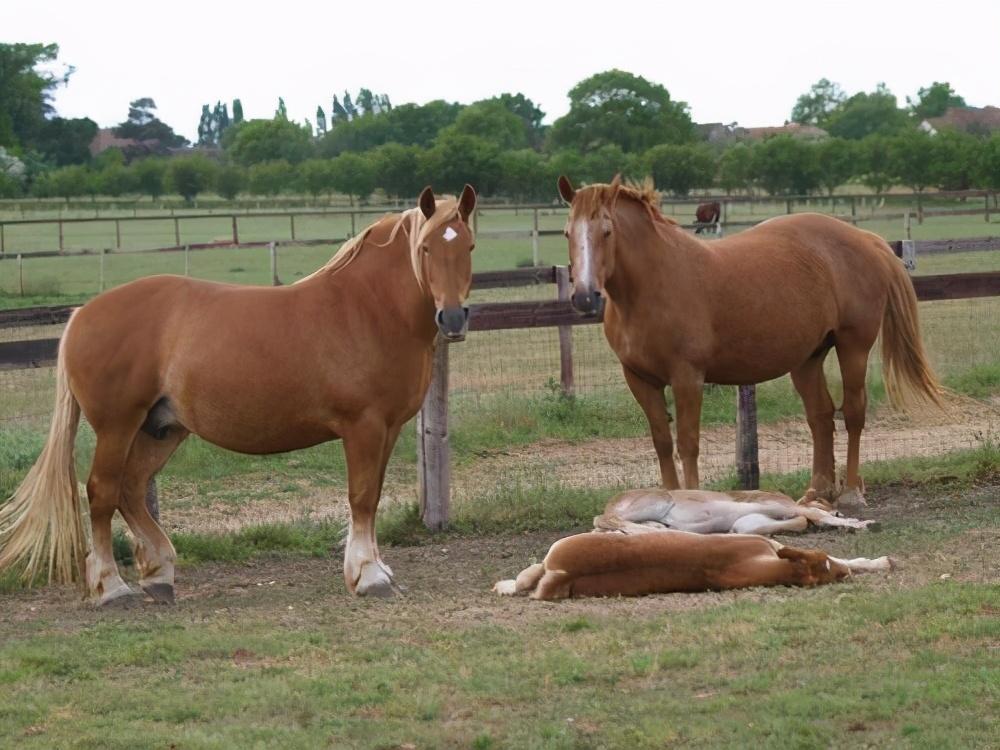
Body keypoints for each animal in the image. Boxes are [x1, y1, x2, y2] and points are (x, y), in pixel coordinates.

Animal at [0, 185, 476, 608]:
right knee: (102, 492)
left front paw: (376, 570)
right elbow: (362, 496)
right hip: (117, 426)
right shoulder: (364, 426)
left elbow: (373, 493)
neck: (369, 308)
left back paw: (159, 575)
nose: (452, 318)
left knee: (131, 490)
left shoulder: (388, 428)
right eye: (427, 248)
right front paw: (369, 577)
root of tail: (83, 313)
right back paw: (112, 588)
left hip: (162, 429)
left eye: (469, 246)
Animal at [560, 175, 940, 506]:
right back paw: (817, 491)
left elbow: (688, 442)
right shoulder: (639, 379)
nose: (584, 297)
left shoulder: (687, 378)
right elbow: (662, 442)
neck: (651, 286)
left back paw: (849, 492)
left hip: (853, 347)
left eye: (607, 231)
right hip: (807, 358)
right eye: (567, 232)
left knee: (853, 413)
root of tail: (866, 238)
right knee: (820, 416)